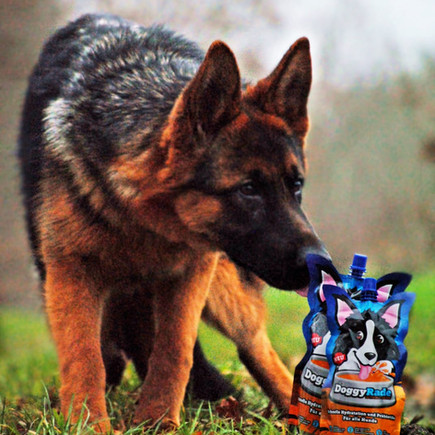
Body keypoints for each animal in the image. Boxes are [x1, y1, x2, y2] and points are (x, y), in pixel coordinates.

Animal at [18, 13, 328, 432]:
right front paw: (88, 422)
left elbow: (174, 350)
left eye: (295, 185)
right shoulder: (71, 272)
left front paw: (159, 421)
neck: (143, 221)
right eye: (248, 190)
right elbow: (84, 357)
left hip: (226, 288)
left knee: (256, 348)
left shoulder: (192, 269)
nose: (322, 265)